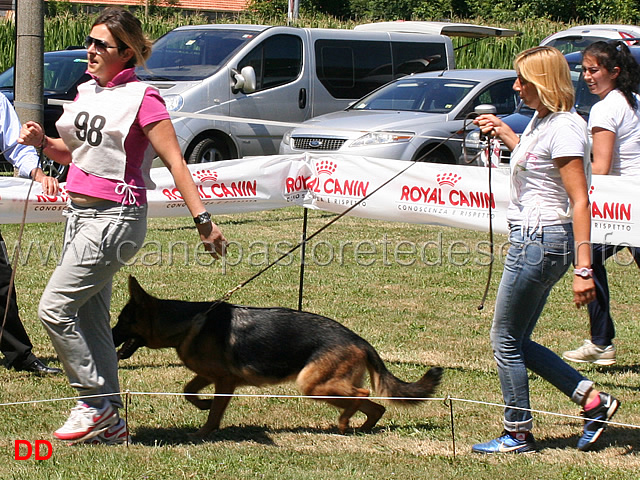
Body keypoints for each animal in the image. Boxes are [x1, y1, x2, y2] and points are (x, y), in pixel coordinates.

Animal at [112, 278, 442, 438]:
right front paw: (202, 405)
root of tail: (359, 340)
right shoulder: (209, 376)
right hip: (323, 385)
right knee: (375, 406)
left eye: (122, 321)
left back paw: (344, 422)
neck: (187, 321)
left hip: (312, 385)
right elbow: (188, 391)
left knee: (360, 394)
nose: (109, 335)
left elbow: (215, 412)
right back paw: (359, 428)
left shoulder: (225, 381)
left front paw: (204, 432)